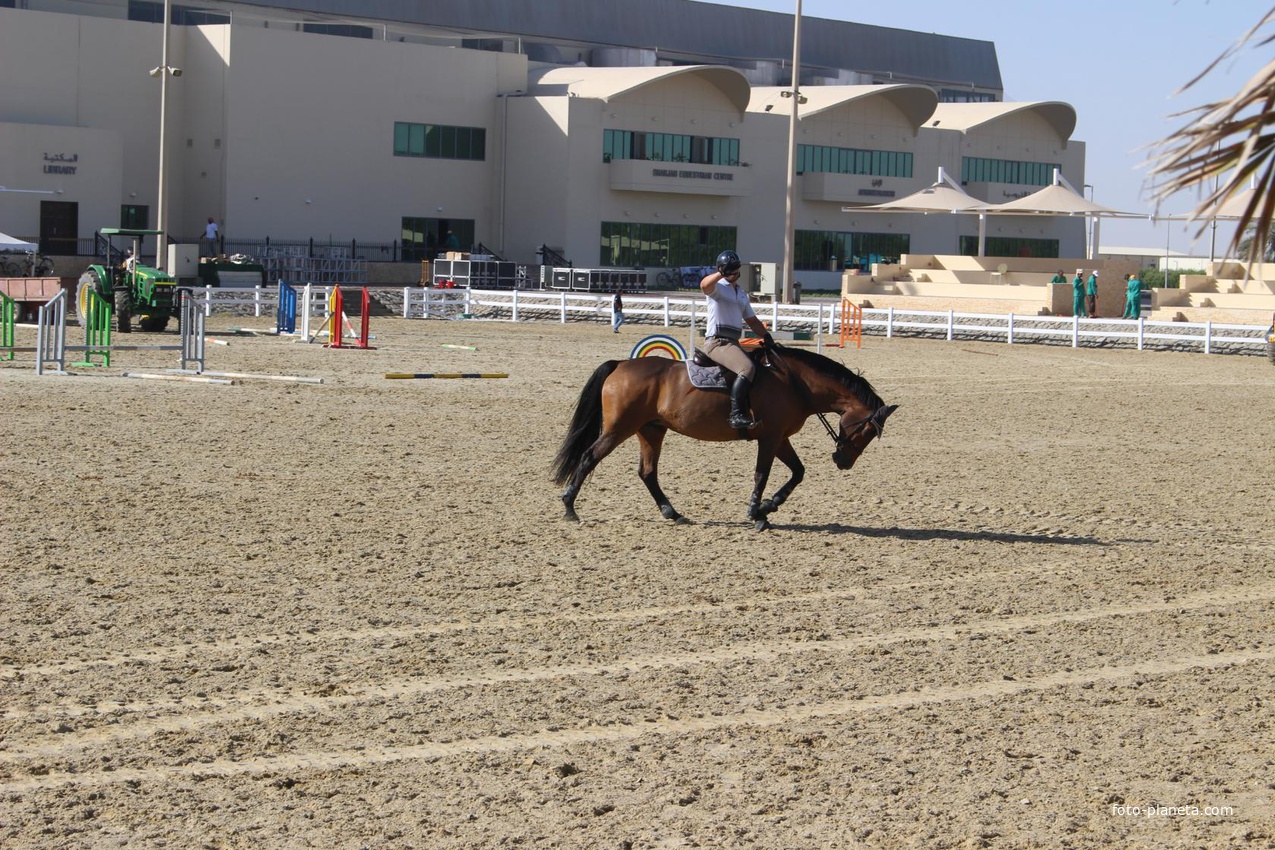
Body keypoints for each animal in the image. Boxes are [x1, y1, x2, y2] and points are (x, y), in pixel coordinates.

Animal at [550, 344, 897, 527]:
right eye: (867, 429)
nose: (844, 462)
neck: (795, 382)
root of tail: (621, 364)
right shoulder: (770, 438)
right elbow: (761, 475)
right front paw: (756, 513)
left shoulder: (780, 438)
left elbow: (798, 472)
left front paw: (770, 506)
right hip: (620, 428)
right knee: (589, 457)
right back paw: (569, 508)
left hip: (651, 430)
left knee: (647, 472)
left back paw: (672, 512)